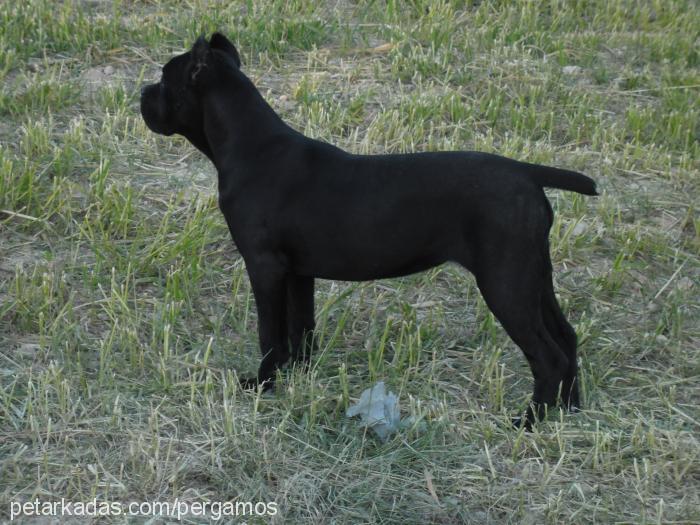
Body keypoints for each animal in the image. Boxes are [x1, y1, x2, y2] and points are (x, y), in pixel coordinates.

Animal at [141, 32, 596, 428]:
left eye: (165, 79)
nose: (142, 93)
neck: (250, 146)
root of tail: (526, 172)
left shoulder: (264, 266)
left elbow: (270, 331)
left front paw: (263, 383)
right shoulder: (298, 273)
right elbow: (301, 327)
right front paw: (299, 373)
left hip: (505, 283)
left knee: (548, 356)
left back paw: (530, 421)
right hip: (532, 277)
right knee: (567, 337)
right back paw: (570, 409)